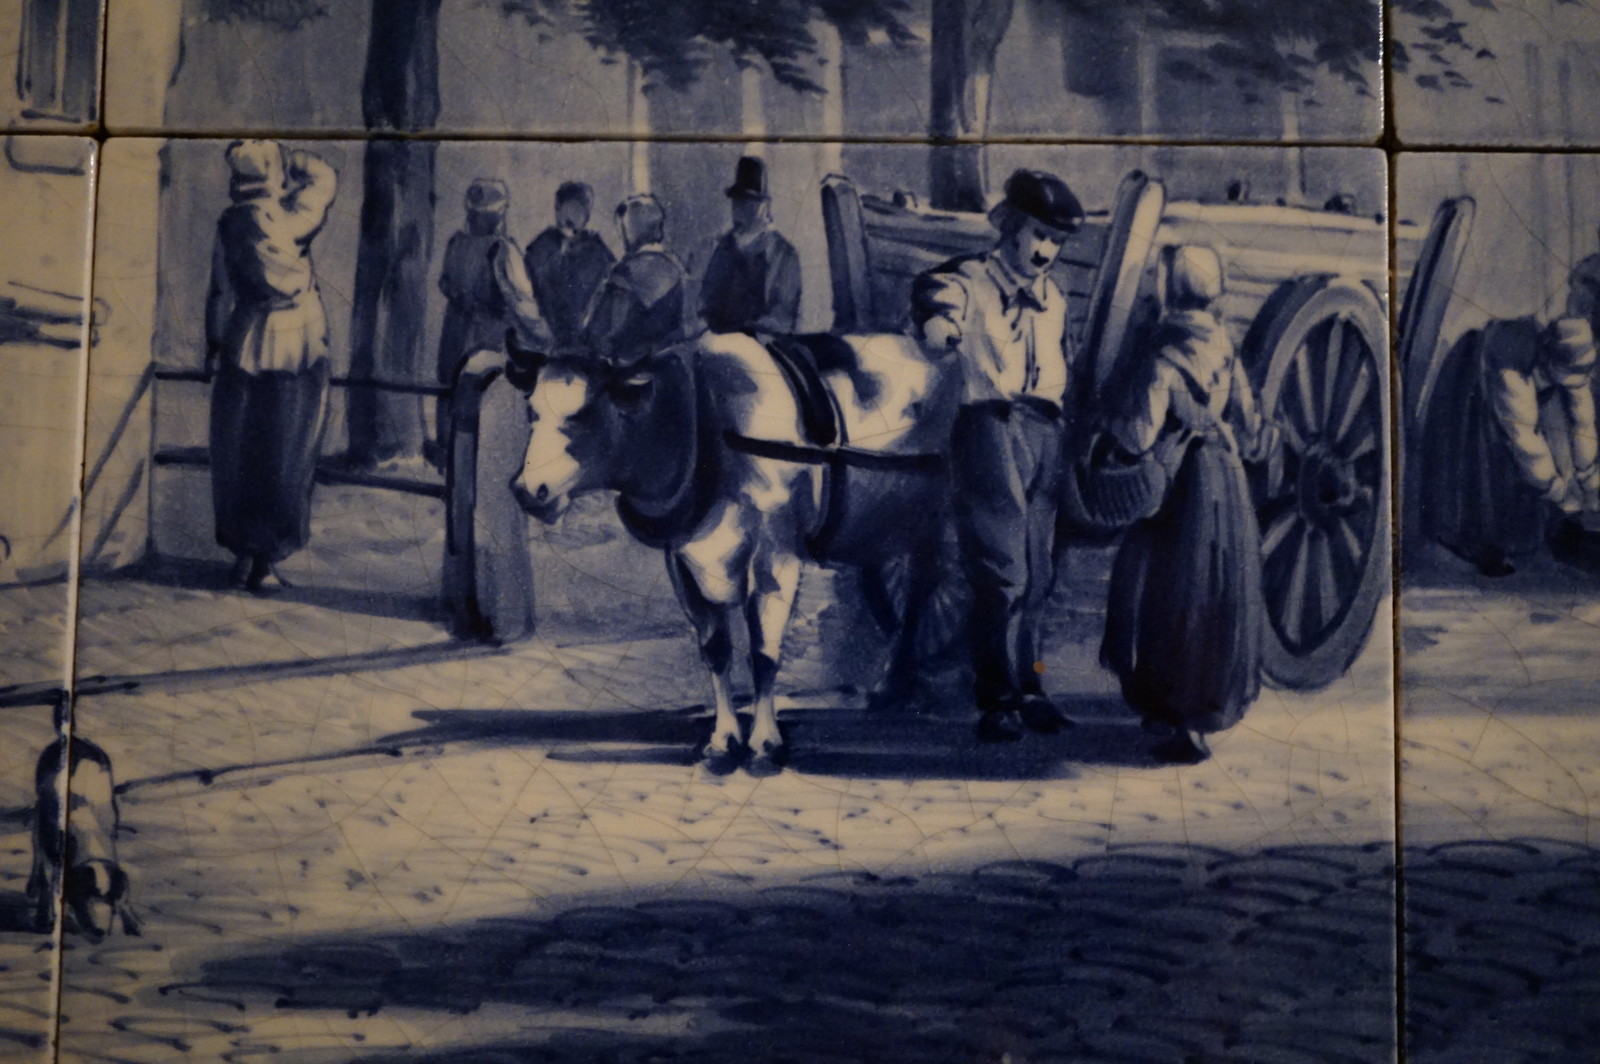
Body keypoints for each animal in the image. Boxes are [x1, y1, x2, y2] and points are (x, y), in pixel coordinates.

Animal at [28, 729, 137, 940]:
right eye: (85, 896)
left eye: (110, 900)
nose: (100, 931)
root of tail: (75, 738)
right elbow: (47, 884)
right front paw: (44, 919)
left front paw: (131, 922)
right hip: (38, 817)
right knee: (36, 854)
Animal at [512, 328, 953, 777]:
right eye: (531, 412)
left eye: (585, 414)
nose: (529, 491)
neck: (705, 422)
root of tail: (927, 345)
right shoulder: (682, 561)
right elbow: (716, 651)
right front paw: (723, 740)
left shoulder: (777, 558)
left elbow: (764, 653)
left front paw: (765, 743)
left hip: (934, 520)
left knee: (922, 589)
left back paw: (894, 681)